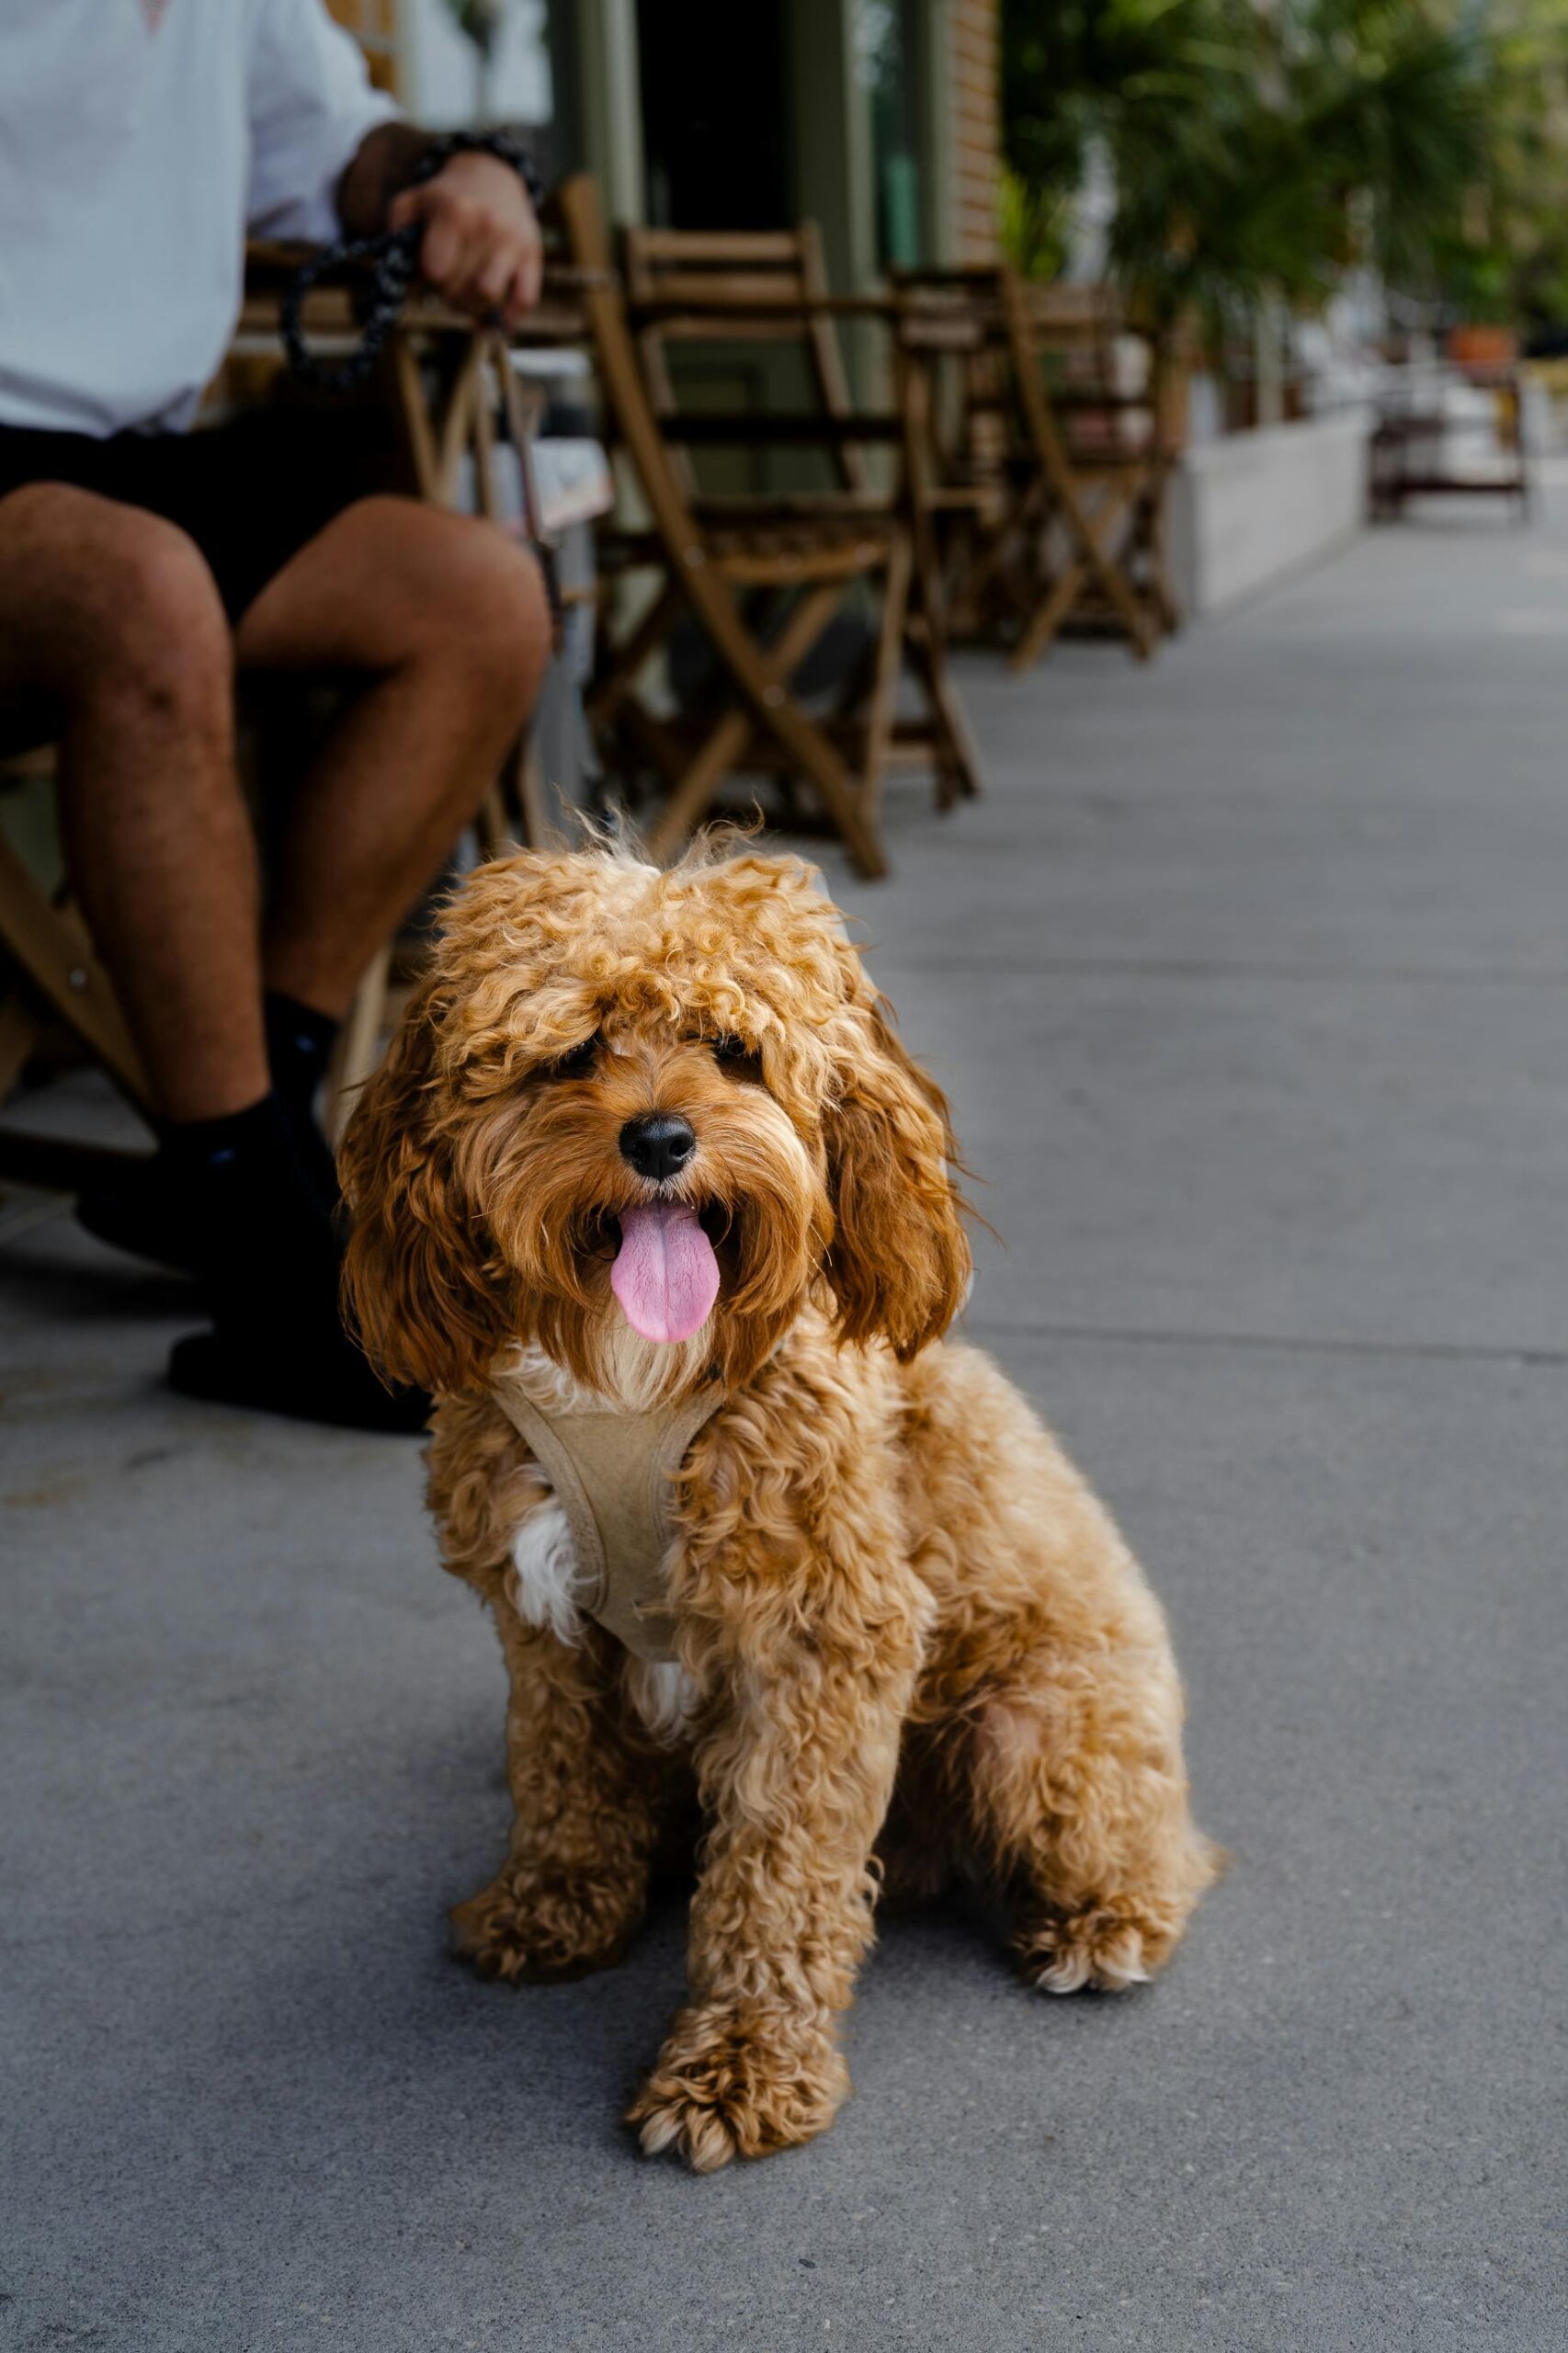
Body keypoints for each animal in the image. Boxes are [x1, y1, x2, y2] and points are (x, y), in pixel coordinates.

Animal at [341, 847, 1205, 2165]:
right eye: (570, 1051)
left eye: (732, 1048)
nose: (659, 1136)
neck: (630, 1376)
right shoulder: (544, 1623)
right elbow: (560, 1772)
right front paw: (555, 1902)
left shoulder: (820, 1634)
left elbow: (779, 1869)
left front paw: (742, 2062)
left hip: (1034, 1731)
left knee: (1154, 1847)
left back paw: (1102, 1925)